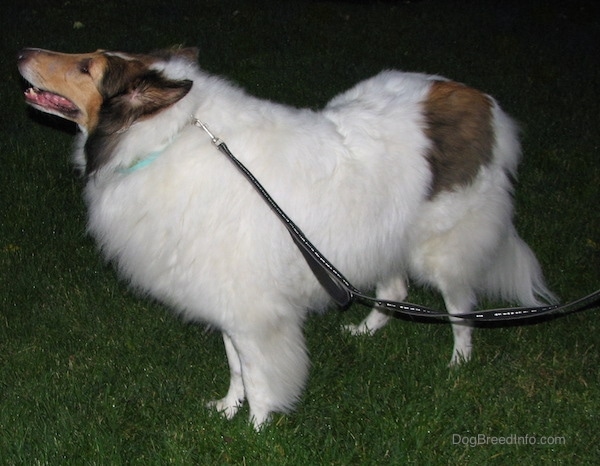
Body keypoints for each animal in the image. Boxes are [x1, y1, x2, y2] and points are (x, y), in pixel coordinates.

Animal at [17, 47, 552, 430]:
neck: (162, 139)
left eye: (87, 66)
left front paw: (257, 427)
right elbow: (235, 365)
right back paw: (366, 331)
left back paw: (457, 365)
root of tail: (482, 101)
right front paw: (228, 410)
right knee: (396, 289)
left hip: (443, 249)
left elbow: (257, 371)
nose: (21, 53)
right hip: (381, 235)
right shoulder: (230, 299)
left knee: (462, 310)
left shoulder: (254, 312)